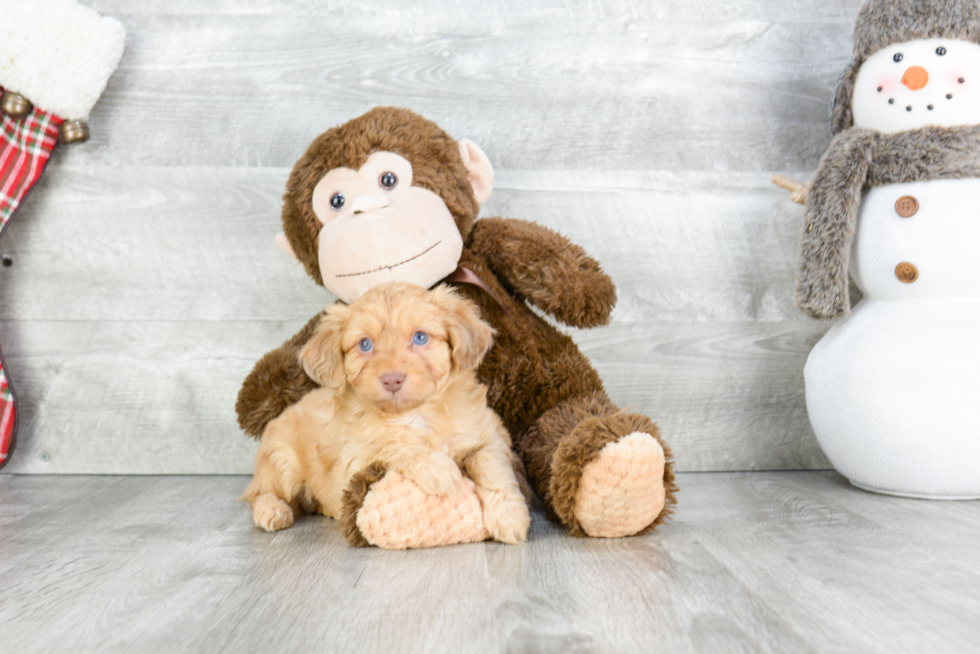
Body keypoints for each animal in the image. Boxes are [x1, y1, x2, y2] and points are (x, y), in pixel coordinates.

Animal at [242, 284, 532, 544]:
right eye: (365, 344)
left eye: (420, 337)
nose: (392, 379)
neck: (416, 413)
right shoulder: (355, 458)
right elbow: (394, 446)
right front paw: (439, 469)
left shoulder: (488, 434)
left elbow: (493, 466)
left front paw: (510, 516)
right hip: (282, 462)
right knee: (259, 492)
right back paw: (272, 510)